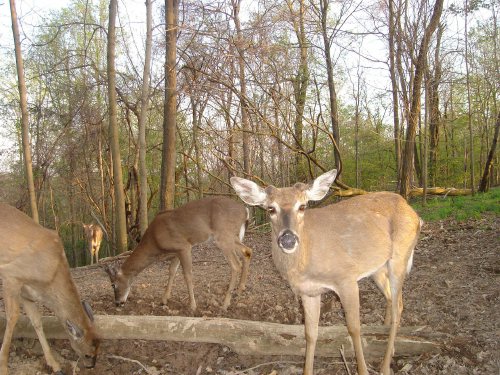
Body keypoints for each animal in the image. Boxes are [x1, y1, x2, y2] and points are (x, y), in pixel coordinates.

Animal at [0, 204, 99, 374]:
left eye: (99, 348)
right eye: (87, 354)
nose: (91, 365)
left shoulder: (27, 293)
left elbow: (37, 321)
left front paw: (55, 365)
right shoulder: (10, 276)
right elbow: (13, 317)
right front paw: (3, 367)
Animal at [106, 195, 254, 312]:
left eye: (113, 284)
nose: (117, 303)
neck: (154, 242)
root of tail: (245, 211)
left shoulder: (184, 246)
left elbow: (187, 275)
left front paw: (192, 305)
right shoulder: (176, 251)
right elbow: (171, 271)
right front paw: (164, 300)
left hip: (223, 236)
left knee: (236, 265)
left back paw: (225, 304)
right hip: (231, 237)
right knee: (247, 251)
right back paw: (239, 291)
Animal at [230, 170, 422, 375]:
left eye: (302, 206)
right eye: (270, 209)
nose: (288, 239)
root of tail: (414, 213)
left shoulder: (346, 279)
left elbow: (354, 328)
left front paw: (362, 369)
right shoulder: (309, 291)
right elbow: (310, 333)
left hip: (400, 256)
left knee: (398, 305)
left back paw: (385, 365)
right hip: (377, 267)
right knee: (392, 298)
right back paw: (386, 342)